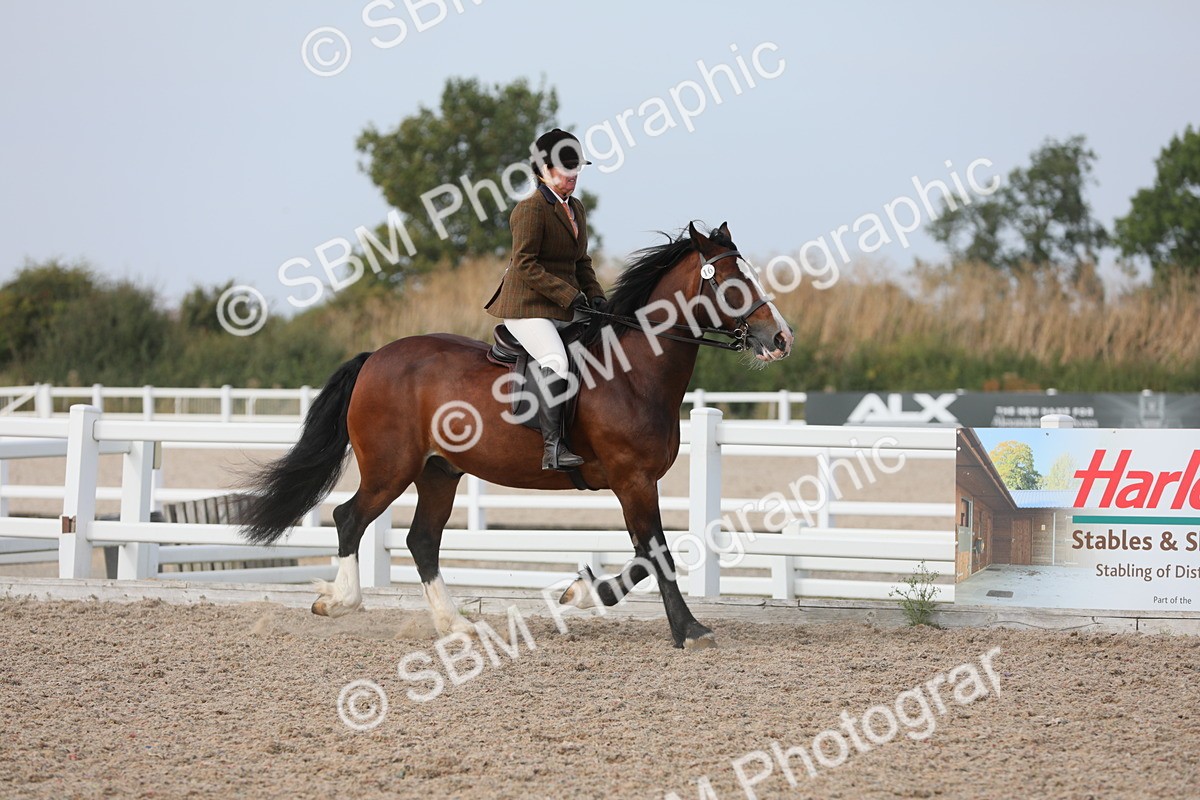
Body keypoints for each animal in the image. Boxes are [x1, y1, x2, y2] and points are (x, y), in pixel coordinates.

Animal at [238, 222, 793, 649]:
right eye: (731, 283)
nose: (781, 338)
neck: (635, 371)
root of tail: (375, 357)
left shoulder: (637, 482)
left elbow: (643, 555)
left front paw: (581, 593)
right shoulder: (632, 479)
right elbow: (656, 552)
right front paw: (689, 630)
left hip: (438, 472)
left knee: (422, 540)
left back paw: (456, 625)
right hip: (390, 468)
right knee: (350, 518)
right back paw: (338, 602)